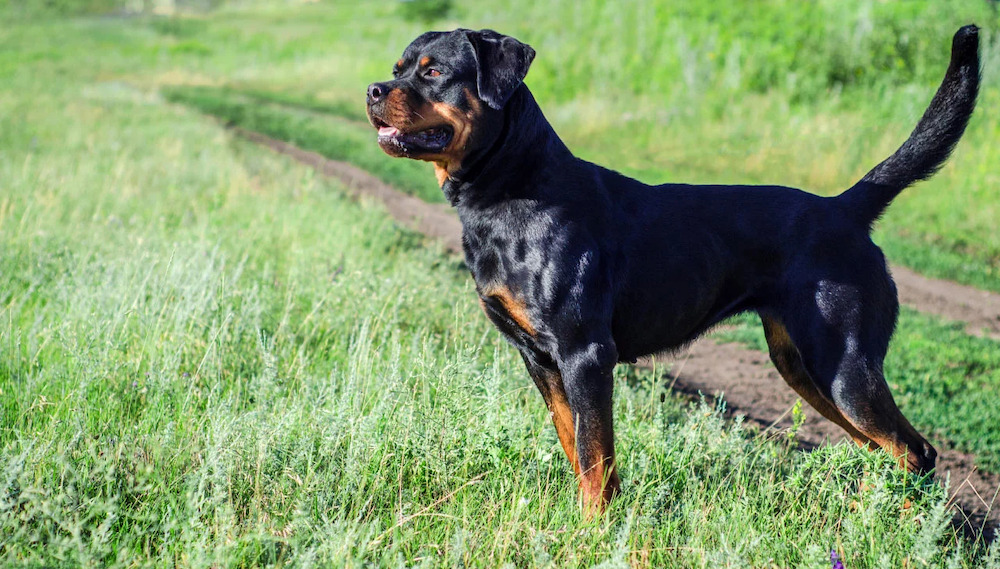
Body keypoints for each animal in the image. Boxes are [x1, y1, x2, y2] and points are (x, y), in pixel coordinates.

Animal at [364, 25, 980, 510]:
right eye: (397, 70)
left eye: (433, 71)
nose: (372, 90)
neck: (509, 189)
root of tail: (845, 208)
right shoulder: (539, 358)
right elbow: (577, 448)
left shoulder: (586, 353)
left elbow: (597, 456)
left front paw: (596, 529)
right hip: (804, 367)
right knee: (882, 450)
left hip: (844, 364)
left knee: (917, 452)